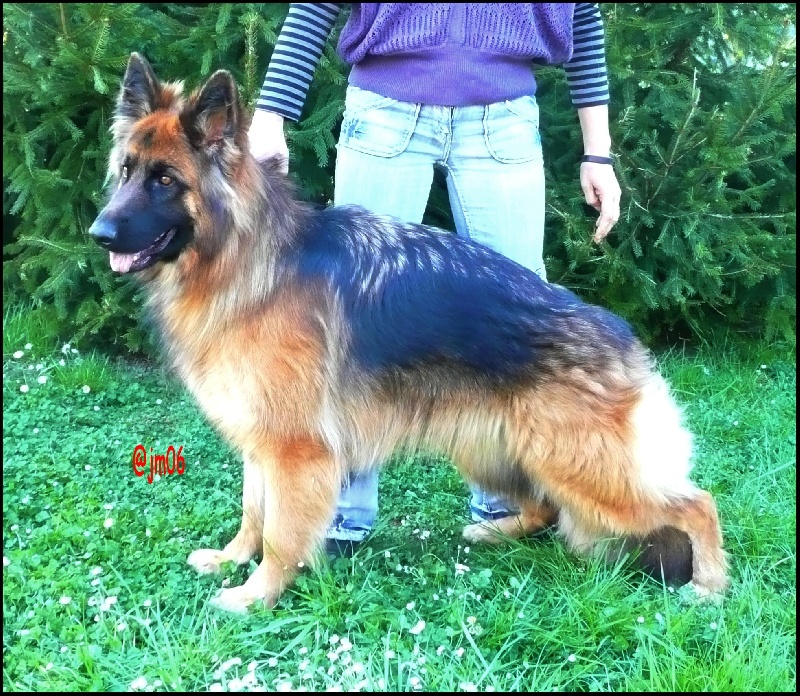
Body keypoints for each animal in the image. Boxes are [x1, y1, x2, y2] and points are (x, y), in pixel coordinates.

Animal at [90, 53, 728, 608]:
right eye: (125, 171)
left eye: (166, 181)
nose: (98, 233)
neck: (247, 258)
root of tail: (623, 340)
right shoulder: (261, 435)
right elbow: (254, 511)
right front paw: (232, 559)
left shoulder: (295, 448)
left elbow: (279, 531)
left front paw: (257, 594)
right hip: (497, 451)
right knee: (549, 509)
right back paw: (497, 533)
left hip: (583, 469)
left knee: (698, 502)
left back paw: (710, 584)